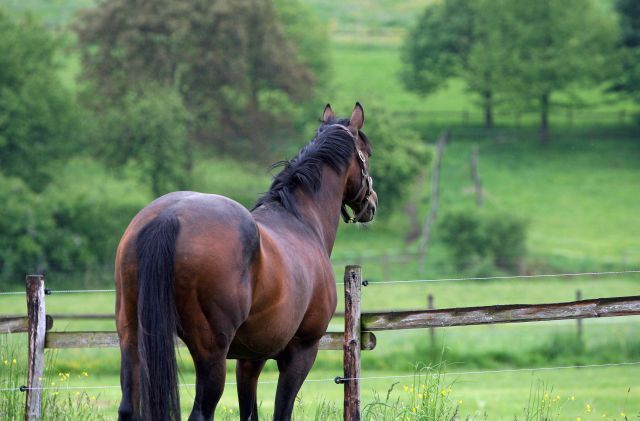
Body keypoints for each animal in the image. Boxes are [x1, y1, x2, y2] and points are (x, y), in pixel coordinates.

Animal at [114, 102, 378, 420]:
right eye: (367, 153)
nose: (372, 203)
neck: (301, 220)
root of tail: (169, 216)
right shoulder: (300, 353)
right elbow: (281, 412)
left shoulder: (250, 359)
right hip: (211, 355)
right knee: (200, 412)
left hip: (132, 338)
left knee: (127, 407)